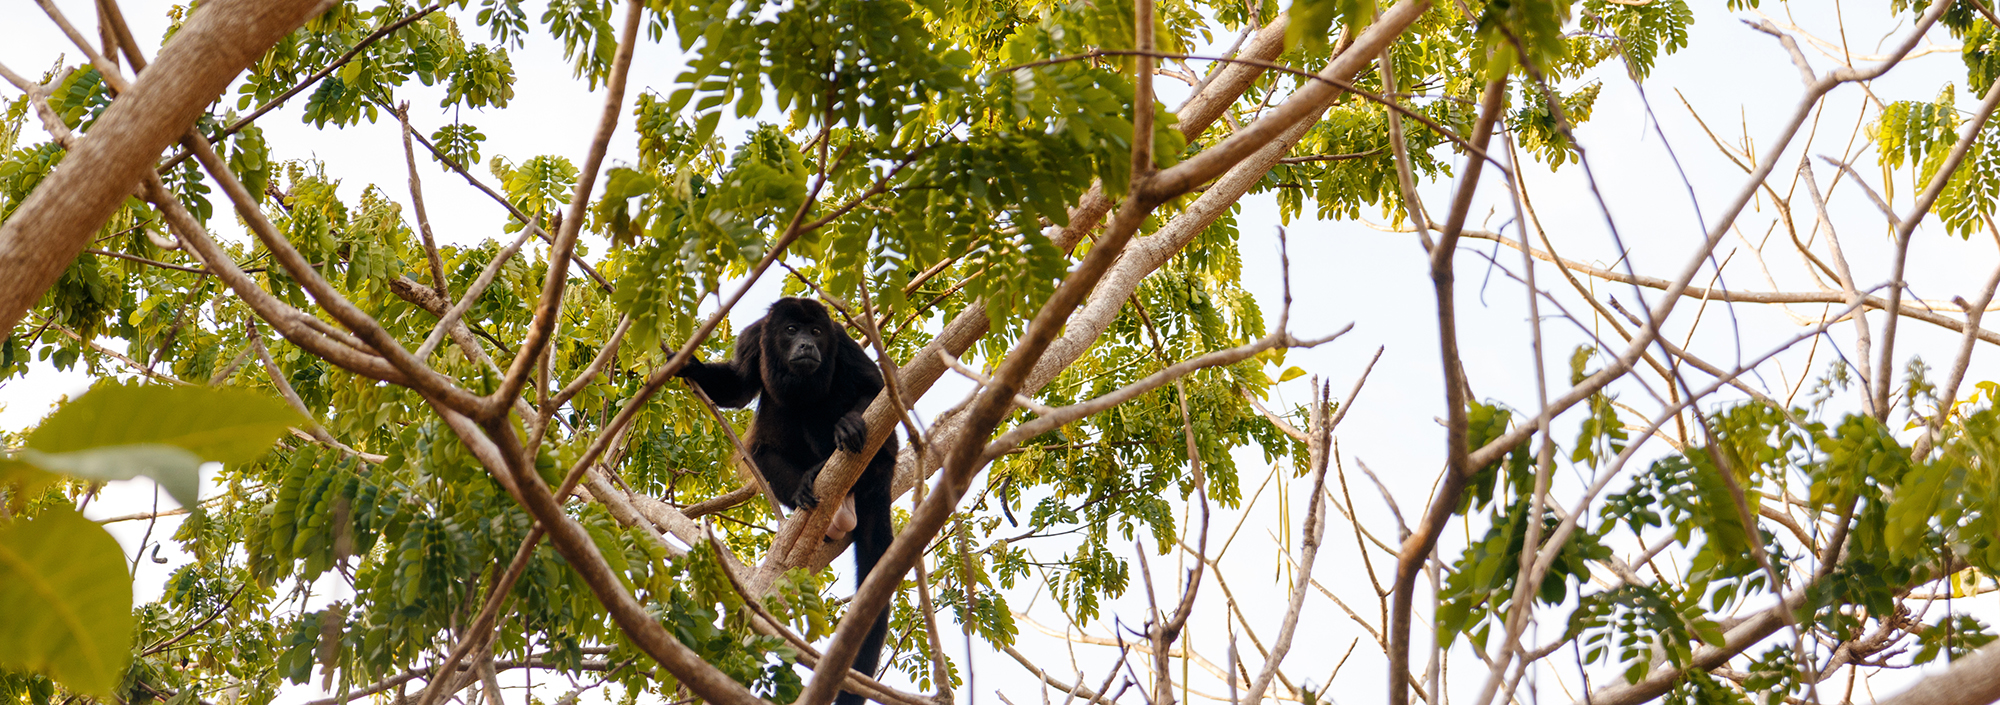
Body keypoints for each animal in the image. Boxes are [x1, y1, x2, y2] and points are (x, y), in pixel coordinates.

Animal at [680, 294, 900, 700]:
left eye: (816, 331)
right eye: (791, 330)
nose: (806, 346)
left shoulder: (841, 341)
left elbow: (875, 388)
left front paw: (850, 422)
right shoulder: (754, 338)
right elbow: (738, 387)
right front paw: (691, 367)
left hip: (883, 459)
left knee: (816, 405)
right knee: (766, 438)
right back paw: (807, 488)